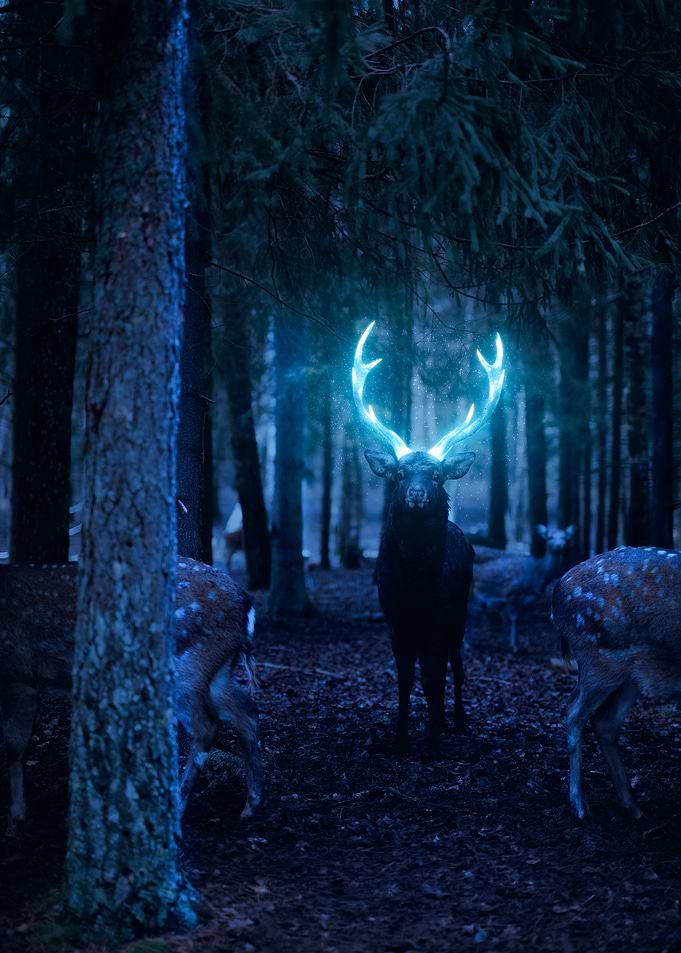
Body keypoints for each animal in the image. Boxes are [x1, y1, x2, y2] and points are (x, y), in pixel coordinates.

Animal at [0, 557, 263, 837]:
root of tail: (246, 604)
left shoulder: (17, 673)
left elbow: (15, 745)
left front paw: (15, 820)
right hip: (217, 670)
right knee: (246, 711)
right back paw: (251, 805)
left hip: (185, 663)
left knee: (207, 725)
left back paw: (176, 809)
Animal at [353, 322, 505, 755]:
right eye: (399, 474)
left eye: (436, 475)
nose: (417, 494)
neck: (416, 584)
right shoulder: (395, 618)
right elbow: (406, 678)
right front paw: (401, 737)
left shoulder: (439, 615)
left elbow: (435, 675)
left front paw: (432, 741)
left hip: (461, 612)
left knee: (457, 665)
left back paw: (459, 720)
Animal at [552, 545, 681, 820]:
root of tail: (557, 592)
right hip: (600, 656)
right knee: (574, 710)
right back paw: (580, 805)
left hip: (630, 673)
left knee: (604, 721)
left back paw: (632, 805)